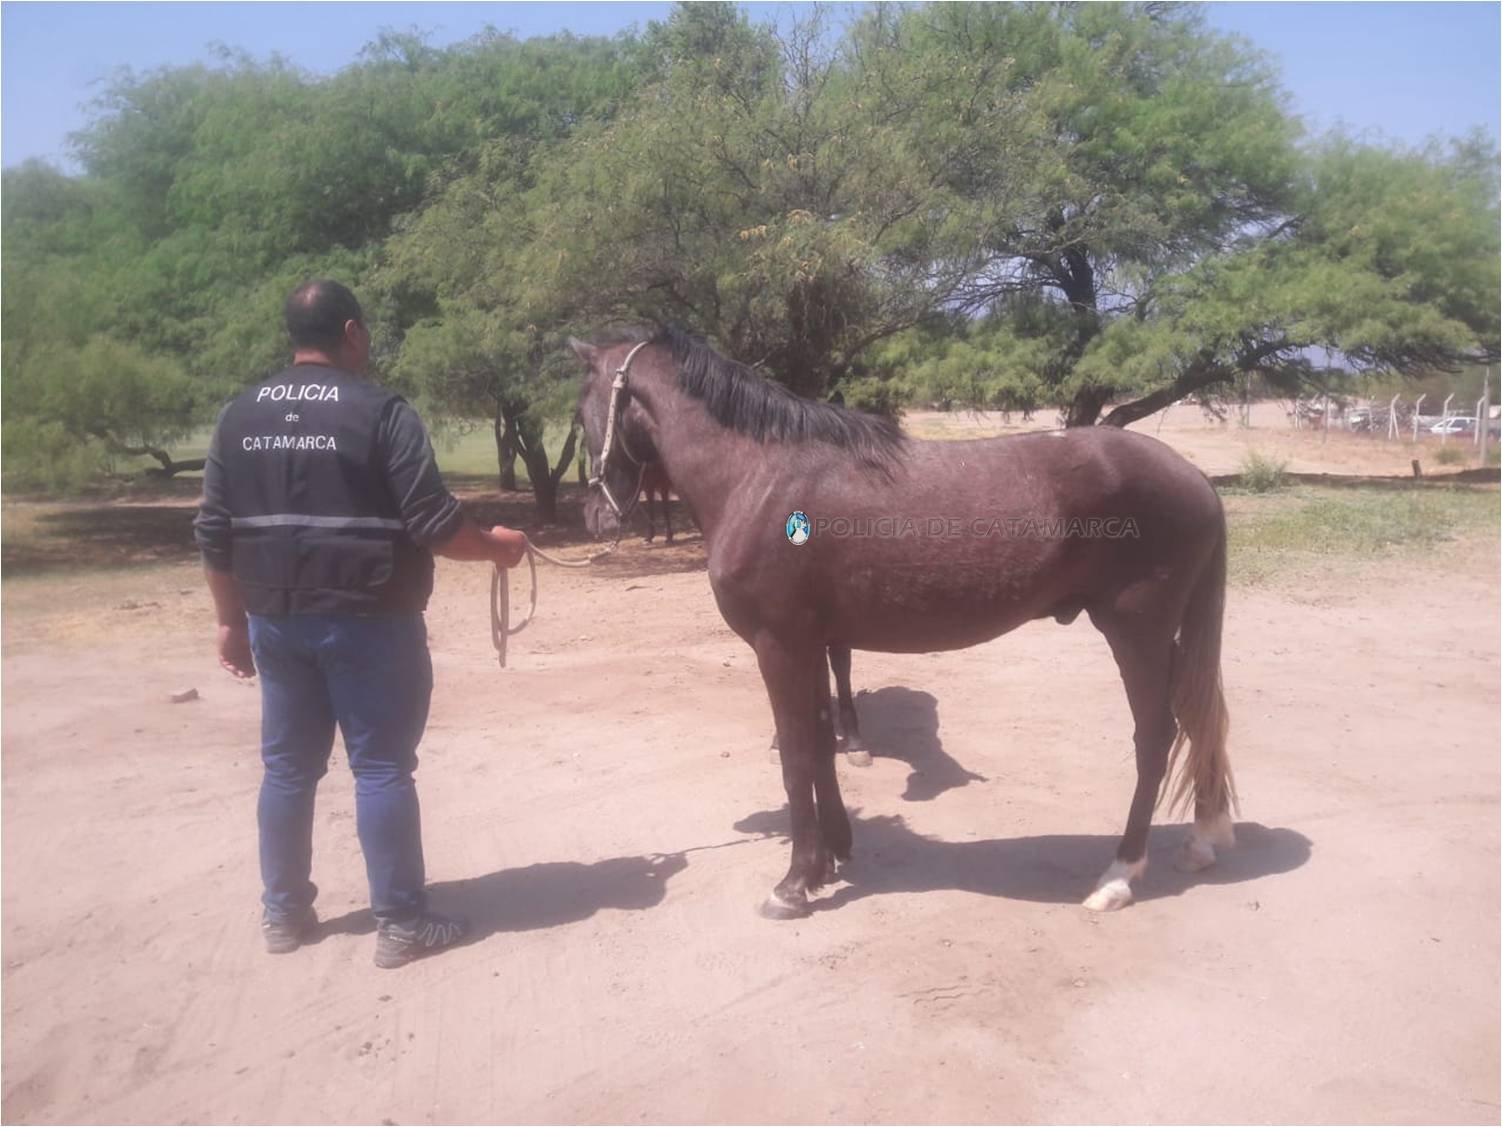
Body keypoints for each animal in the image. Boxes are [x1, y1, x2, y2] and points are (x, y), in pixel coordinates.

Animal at [567, 324, 1237, 919]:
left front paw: (793, 885)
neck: (759, 477)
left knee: (1155, 736)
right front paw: (830, 858)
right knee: (1196, 719)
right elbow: (820, 745)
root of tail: (1197, 480)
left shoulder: (778, 646)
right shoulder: (810, 644)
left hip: (1136, 631)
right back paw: (1202, 840)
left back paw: (1118, 876)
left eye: (580, 414)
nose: (596, 516)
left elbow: (795, 758)